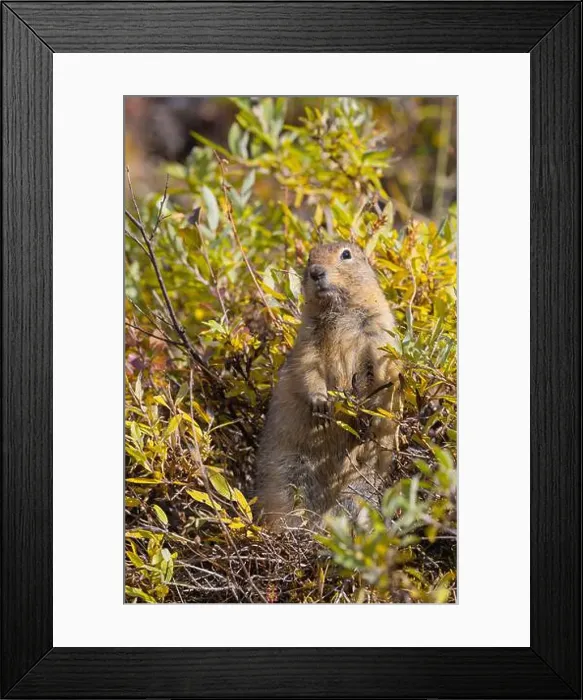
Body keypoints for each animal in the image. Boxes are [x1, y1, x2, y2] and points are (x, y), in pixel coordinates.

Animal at [256, 242, 401, 528]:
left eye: (346, 254)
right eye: (309, 259)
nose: (315, 271)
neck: (339, 311)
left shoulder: (379, 332)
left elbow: (382, 374)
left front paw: (368, 415)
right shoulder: (307, 340)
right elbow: (308, 368)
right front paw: (321, 403)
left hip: (358, 488)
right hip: (285, 476)